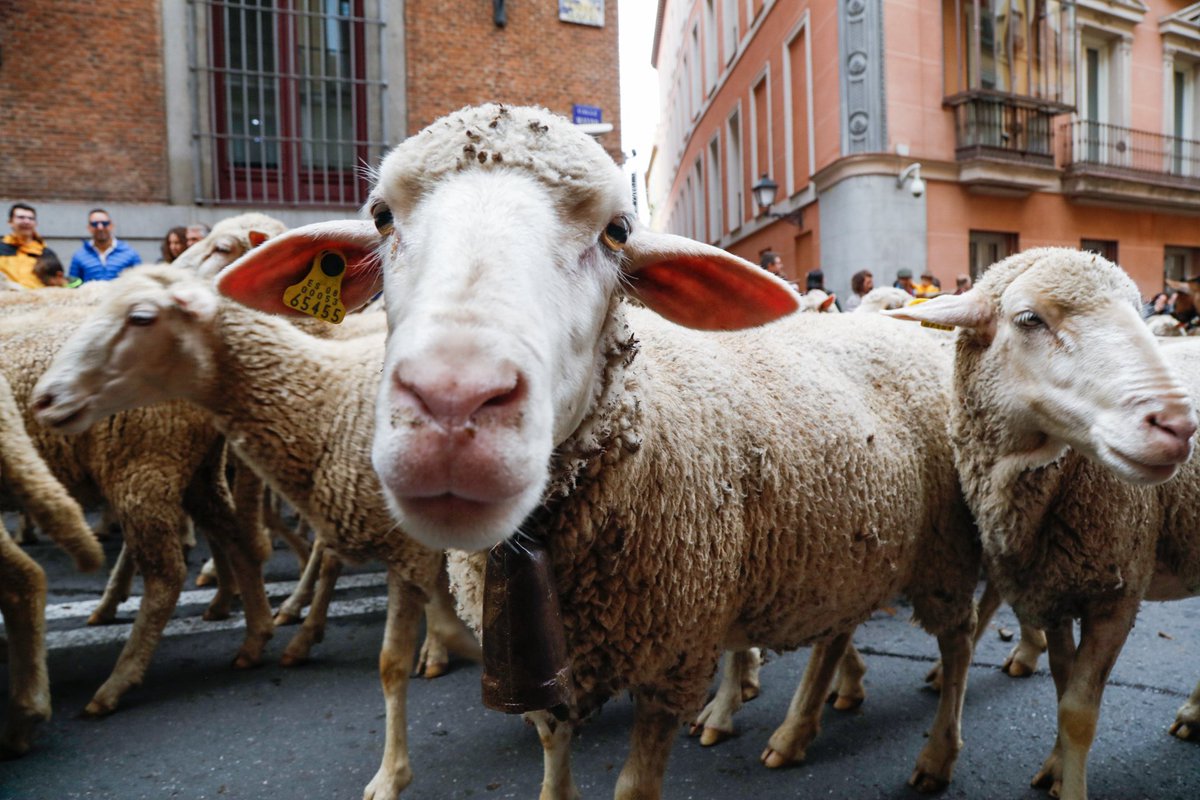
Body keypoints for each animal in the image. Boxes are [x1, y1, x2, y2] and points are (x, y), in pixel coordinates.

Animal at [32, 265, 481, 800]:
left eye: (141, 317)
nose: (44, 399)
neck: (327, 401)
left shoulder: (411, 548)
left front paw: (392, 771)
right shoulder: (402, 544)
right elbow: (406, 647)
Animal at [214, 103, 982, 798]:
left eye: (617, 232)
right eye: (380, 217)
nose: (452, 402)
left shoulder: (673, 660)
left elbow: (634, 785)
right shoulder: (550, 662)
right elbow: (555, 766)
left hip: (942, 552)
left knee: (958, 642)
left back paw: (936, 755)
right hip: (851, 544)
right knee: (837, 633)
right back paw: (799, 730)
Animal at [888, 247, 1200, 800]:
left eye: (1140, 311)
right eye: (1029, 319)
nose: (1179, 426)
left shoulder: (1118, 595)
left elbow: (1078, 711)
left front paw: (1068, 779)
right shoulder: (1052, 583)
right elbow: (1060, 679)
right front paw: (1055, 765)